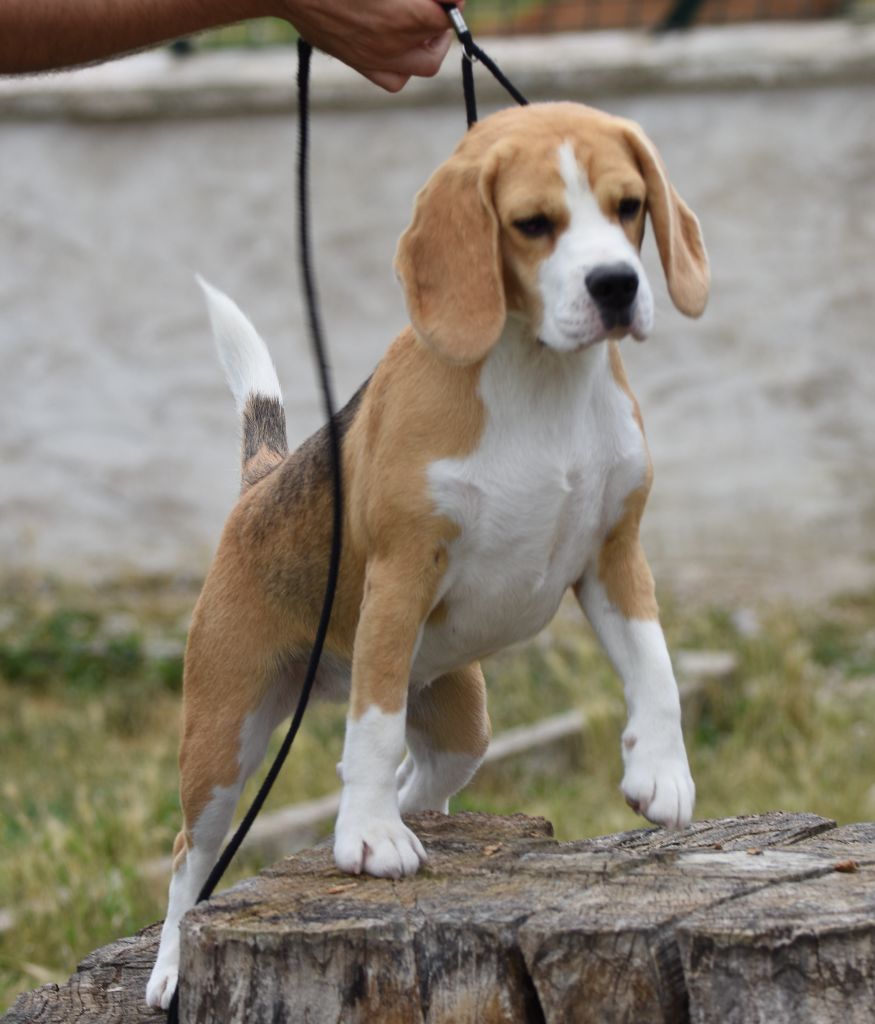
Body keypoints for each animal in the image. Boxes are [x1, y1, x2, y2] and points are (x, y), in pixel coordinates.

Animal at [148, 101, 713, 1007]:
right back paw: (171, 965)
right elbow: (372, 728)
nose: (616, 286)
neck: (538, 377)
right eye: (533, 224)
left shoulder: (616, 553)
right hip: (222, 736)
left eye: (628, 207)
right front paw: (369, 840)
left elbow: (655, 668)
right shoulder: (401, 576)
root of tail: (261, 485)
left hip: (461, 727)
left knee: (422, 778)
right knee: (188, 860)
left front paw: (660, 772)